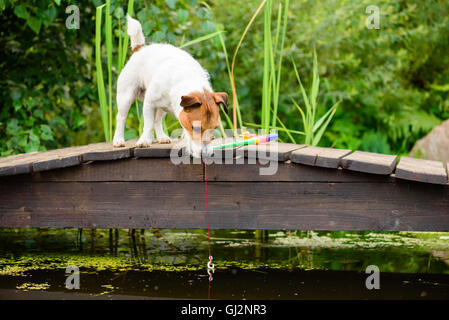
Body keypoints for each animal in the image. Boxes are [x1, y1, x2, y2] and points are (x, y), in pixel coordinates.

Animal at [112, 15, 228, 158]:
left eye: (214, 128)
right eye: (195, 128)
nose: (205, 154)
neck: (188, 78)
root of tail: (140, 49)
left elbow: (155, 122)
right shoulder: (149, 104)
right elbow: (148, 125)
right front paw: (145, 140)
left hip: (161, 107)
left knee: (157, 120)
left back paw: (162, 137)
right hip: (126, 96)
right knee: (121, 118)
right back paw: (118, 140)